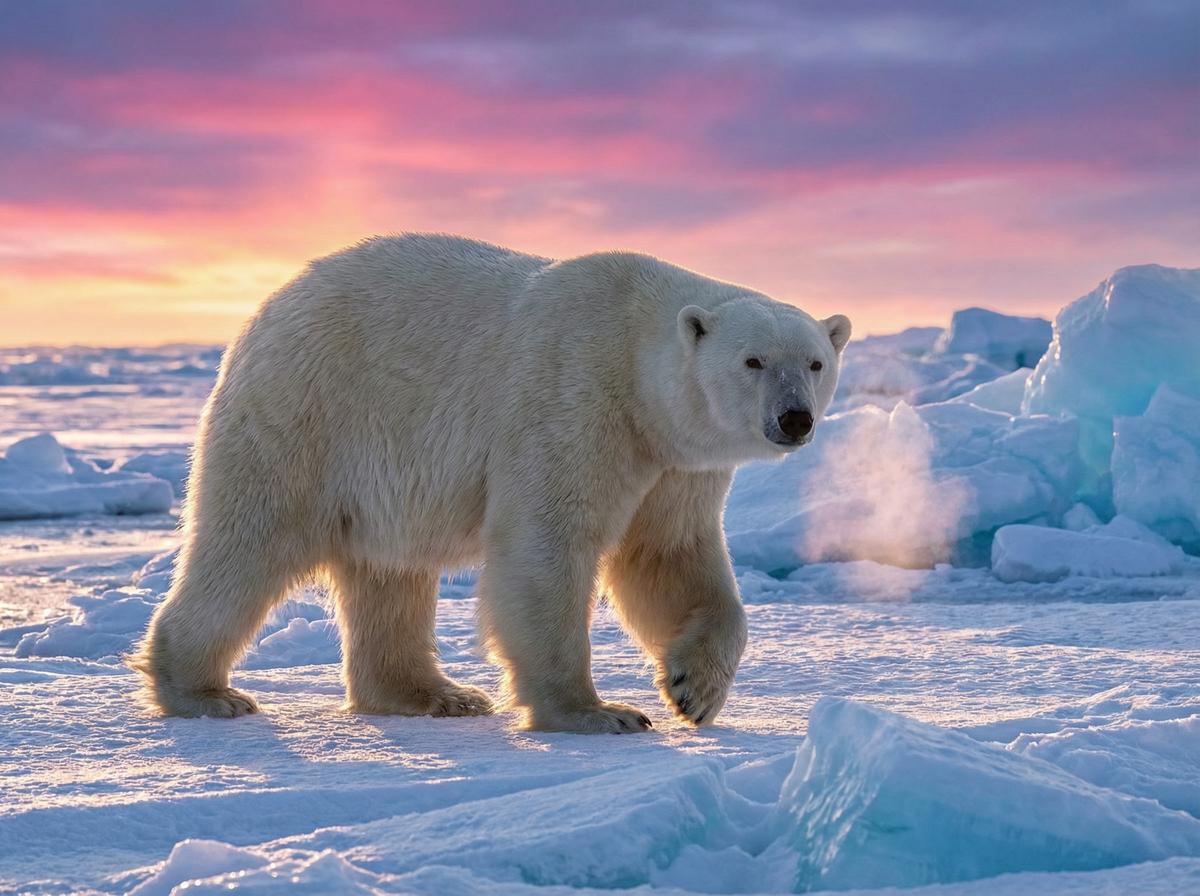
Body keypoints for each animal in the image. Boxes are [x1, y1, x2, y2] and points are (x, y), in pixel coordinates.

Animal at [131, 234, 851, 733]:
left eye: (815, 361)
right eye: (753, 360)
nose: (794, 418)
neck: (635, 353)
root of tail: (261, 316)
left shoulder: (672, 461)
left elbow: (667, 556)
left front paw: (693, 689)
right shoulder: (574, 397)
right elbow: (547, 546)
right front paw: (598, 713)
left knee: (389, 572)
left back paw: (434, 694)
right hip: (309, 415)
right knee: (251, 541)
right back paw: (204, 692)